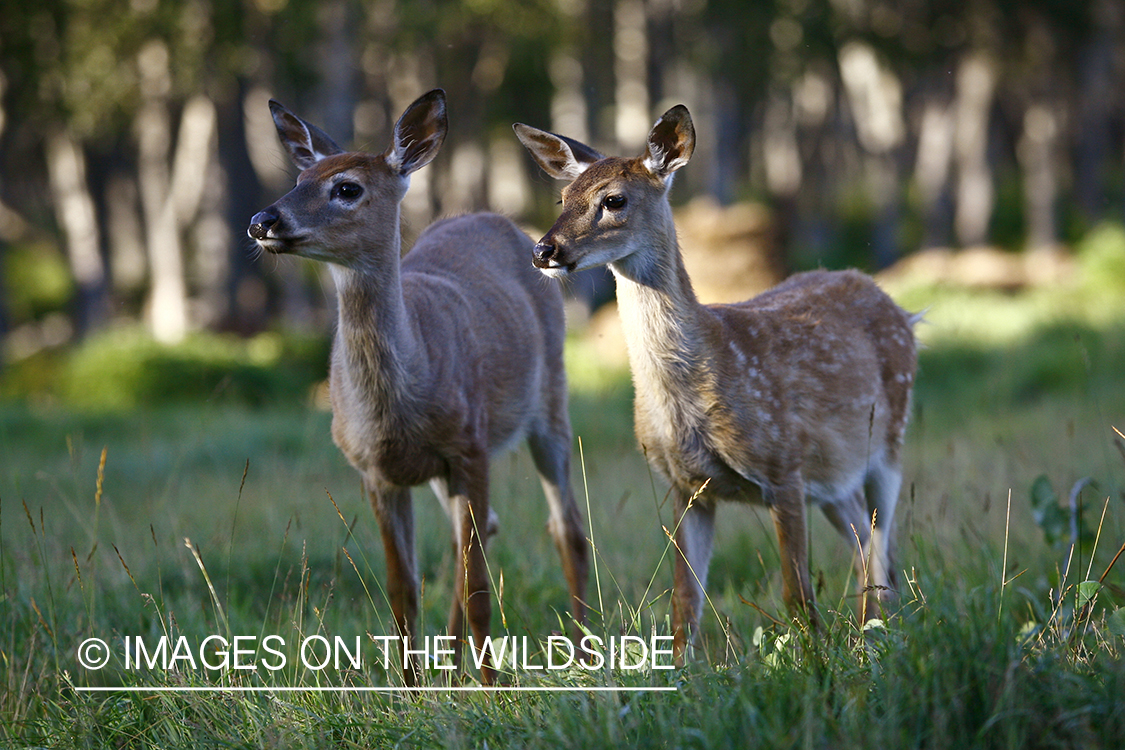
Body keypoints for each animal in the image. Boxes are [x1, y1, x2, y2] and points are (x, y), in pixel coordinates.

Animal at [248, 89, 589, 688]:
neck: (399, 403)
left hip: (549, 398)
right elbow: (402, 587)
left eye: (346, 188)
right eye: (298, 178)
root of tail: (494, 218)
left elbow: (478, 585)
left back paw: (583, 654)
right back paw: (451, 668)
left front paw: (492, 690)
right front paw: (410, 688)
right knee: (474, 536)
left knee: (565, 528)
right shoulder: (375, 470)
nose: (261, 219)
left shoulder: (471, 445)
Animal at [515, 105, 918, 661]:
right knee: (866, 544)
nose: (543, 250)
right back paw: (870, 634)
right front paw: (683, 671)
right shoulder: (686, 486)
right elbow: (685, 604)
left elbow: (797, 595)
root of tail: (895, 303)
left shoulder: (783, 466)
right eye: (563, 198)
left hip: (890, 441)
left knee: (884, 546)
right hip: (836, 474)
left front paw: (811, 663)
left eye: (613, 200)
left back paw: (880, 637)